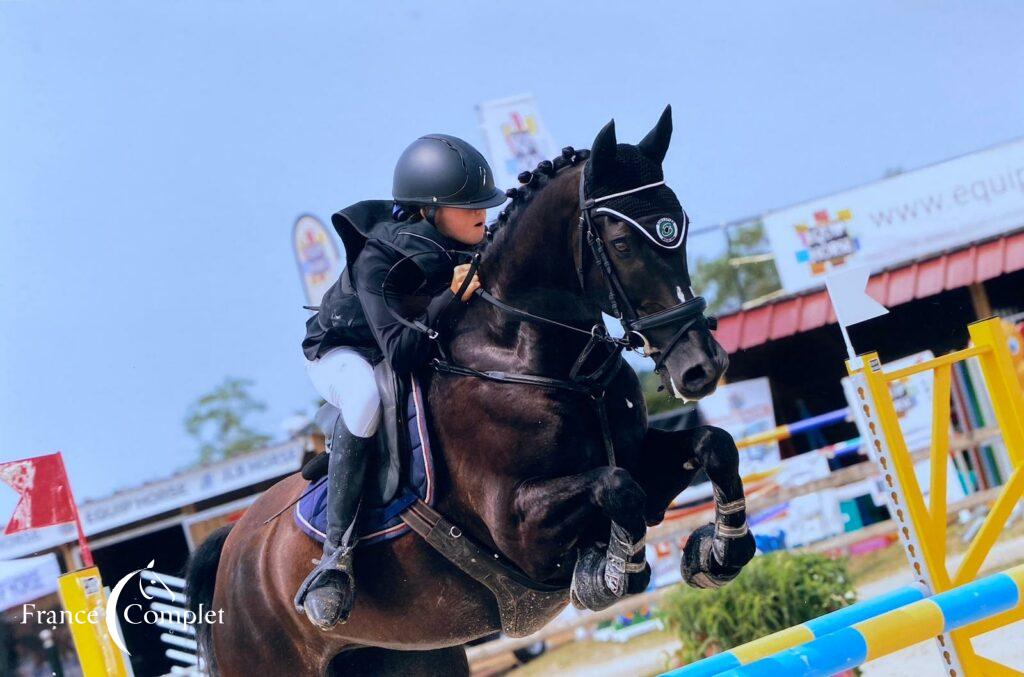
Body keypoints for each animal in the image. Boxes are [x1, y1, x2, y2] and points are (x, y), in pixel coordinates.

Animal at [188, 108, 757, 671]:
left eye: (679, 227)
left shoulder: (641, 458)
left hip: (410, 655)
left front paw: (719, 554)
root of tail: (233, 545)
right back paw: (330, 584)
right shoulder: (518, 528)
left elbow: (712, 445)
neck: (542, 363)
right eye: (621, 244)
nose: (702, 367)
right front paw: (613, 573)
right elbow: (616, 485)